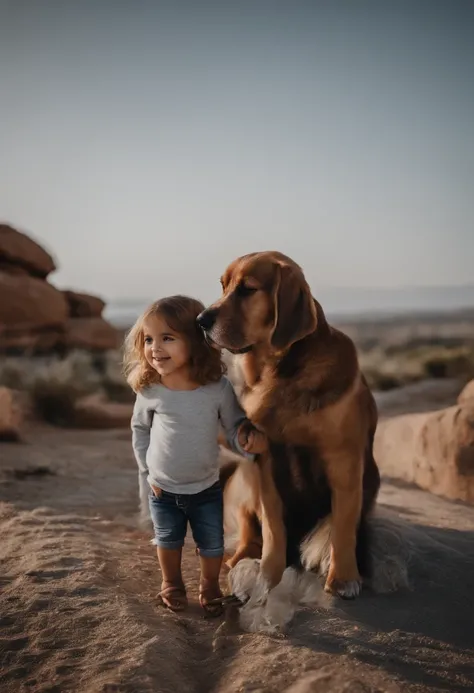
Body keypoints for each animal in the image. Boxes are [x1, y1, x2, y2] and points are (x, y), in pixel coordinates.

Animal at [197, 251, 382, 596]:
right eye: (224, 286)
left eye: (247, 289)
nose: (201, 320)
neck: (281, 373)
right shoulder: (266, 462)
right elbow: (272, 528)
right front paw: (268, 575)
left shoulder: (344, 463)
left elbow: (342, 527)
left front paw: (344, 576)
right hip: (245, 481)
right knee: (247, 533)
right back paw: (238, 561)